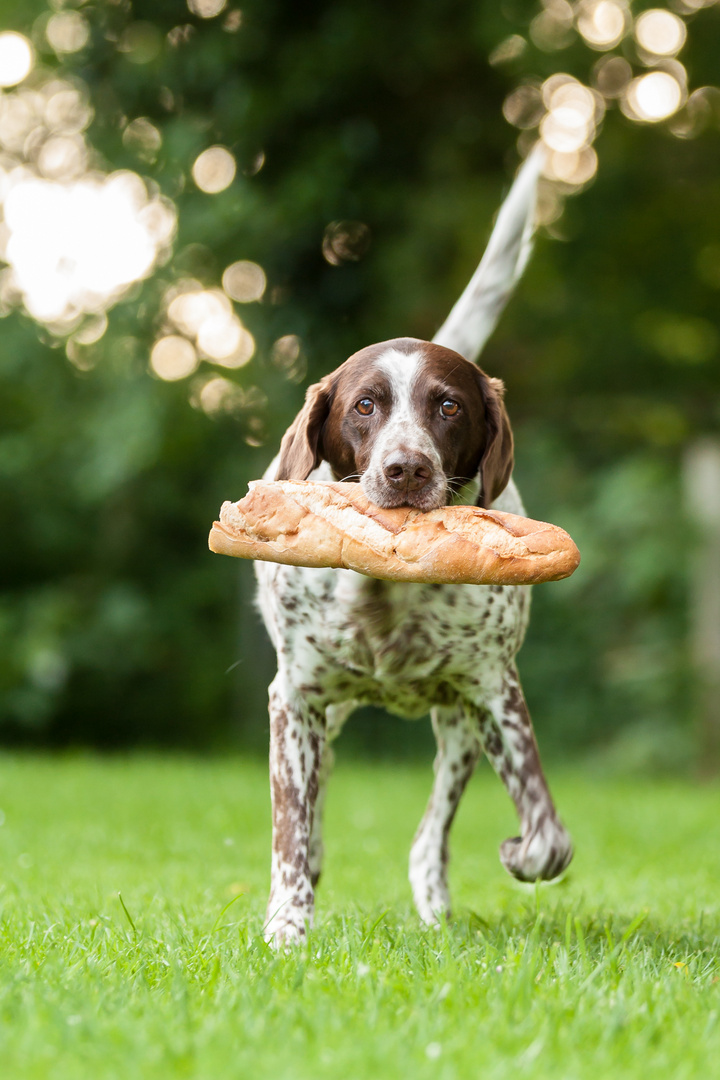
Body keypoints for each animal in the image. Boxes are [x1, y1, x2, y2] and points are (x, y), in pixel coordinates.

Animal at [255, 150, 569, 946]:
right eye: (365, 404)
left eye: (448, 406)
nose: (406, 470)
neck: (383, 587)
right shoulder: (294, 698)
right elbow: (291, 829)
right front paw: (288, 926)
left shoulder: (493, 692)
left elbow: (547, 837)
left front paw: (520, 854)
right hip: (332, 712)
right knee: (319, 801)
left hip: (457, 724)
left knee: (430, 835)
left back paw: (434, 907)